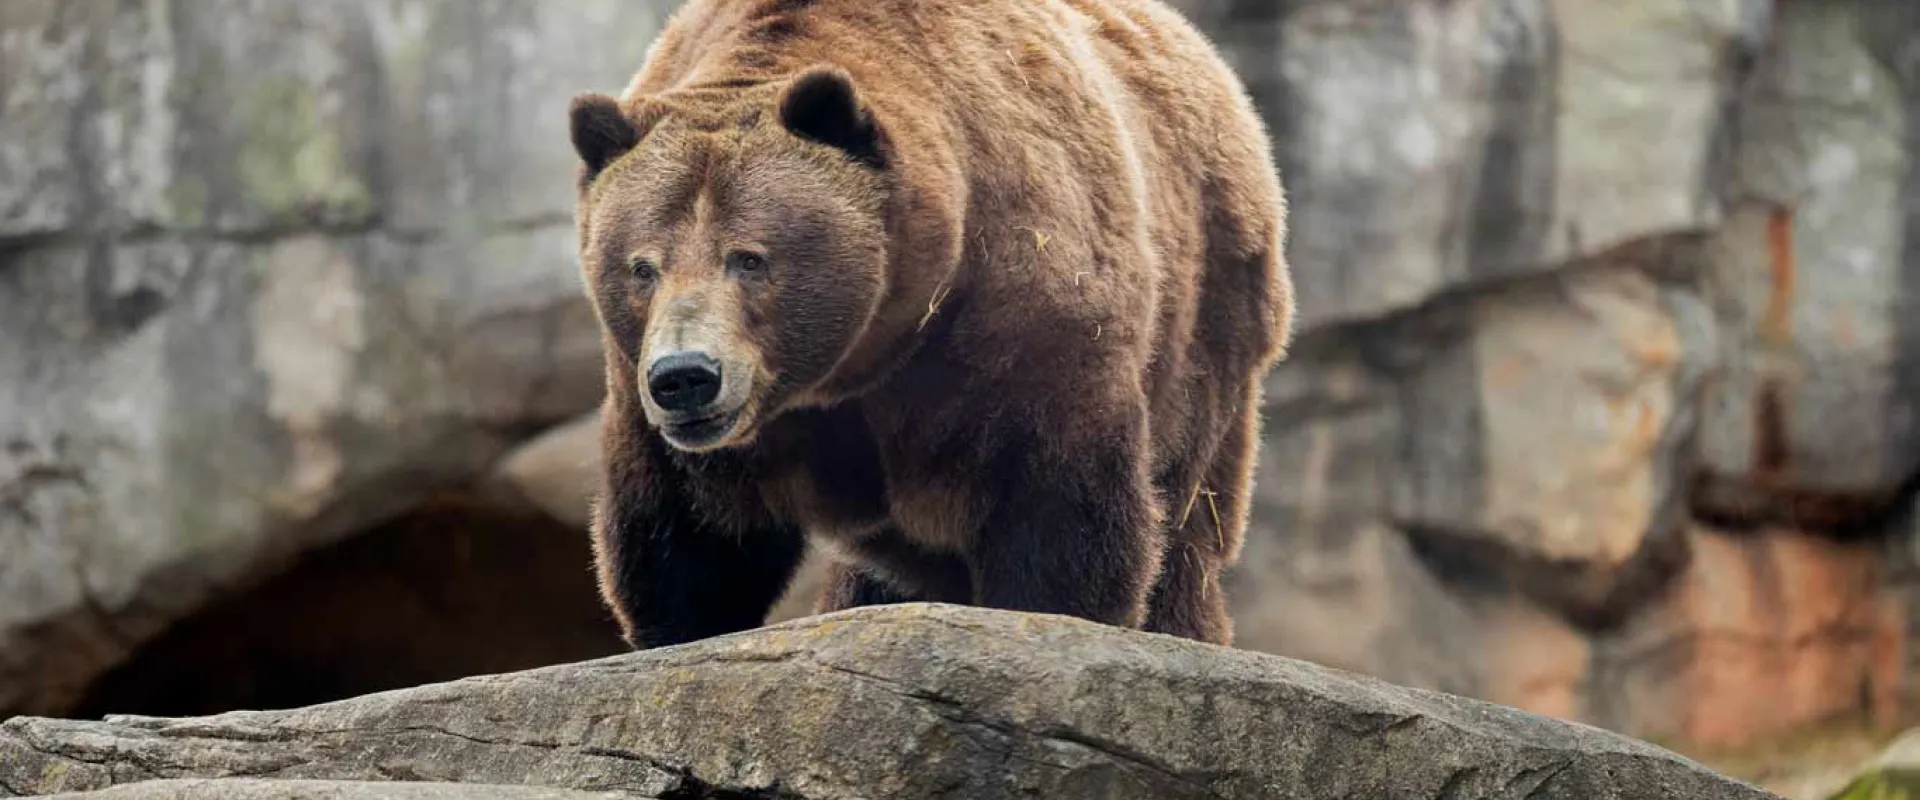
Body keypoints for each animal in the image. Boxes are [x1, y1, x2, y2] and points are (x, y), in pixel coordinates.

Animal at [568, 0, 1293, 649]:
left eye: (749, 258)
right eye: (642, 267)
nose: (686, 376)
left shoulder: (1018, 317)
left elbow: (1060, 505)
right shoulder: (661, 397)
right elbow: (688, 535)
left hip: (1210, 321)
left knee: (1187, 515)